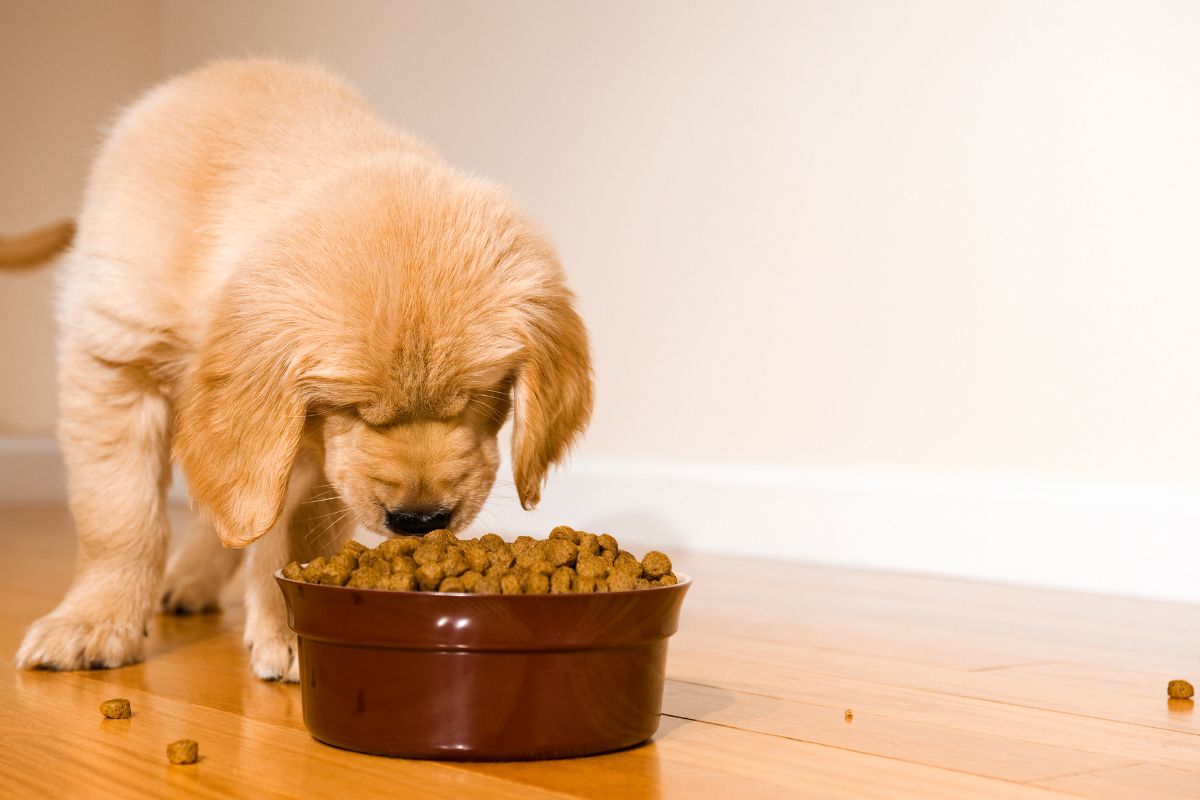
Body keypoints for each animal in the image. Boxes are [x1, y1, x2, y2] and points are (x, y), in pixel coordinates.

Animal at [9, 57, 590, 681]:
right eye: (353, 407)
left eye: (483, 397)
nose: (420, 520)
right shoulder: (115, 358)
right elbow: (119, 516)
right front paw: (94, 622)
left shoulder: (309, 447)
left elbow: (292, 529)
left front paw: (290, 627)